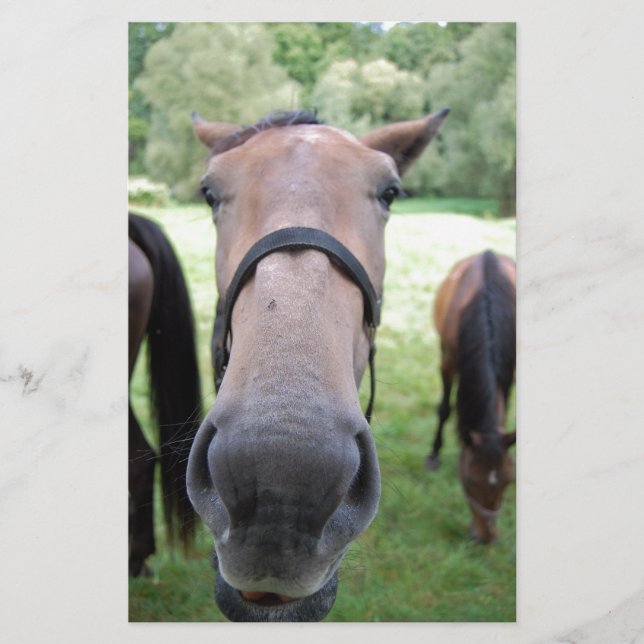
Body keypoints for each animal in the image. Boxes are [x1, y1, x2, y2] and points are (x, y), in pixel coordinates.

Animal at [425, 250, 516, 544]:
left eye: (509, 480)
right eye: (469, 481)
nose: (486, 536)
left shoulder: (509, 370)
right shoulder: (448, 360)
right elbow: (444, 408)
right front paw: (434, 455)